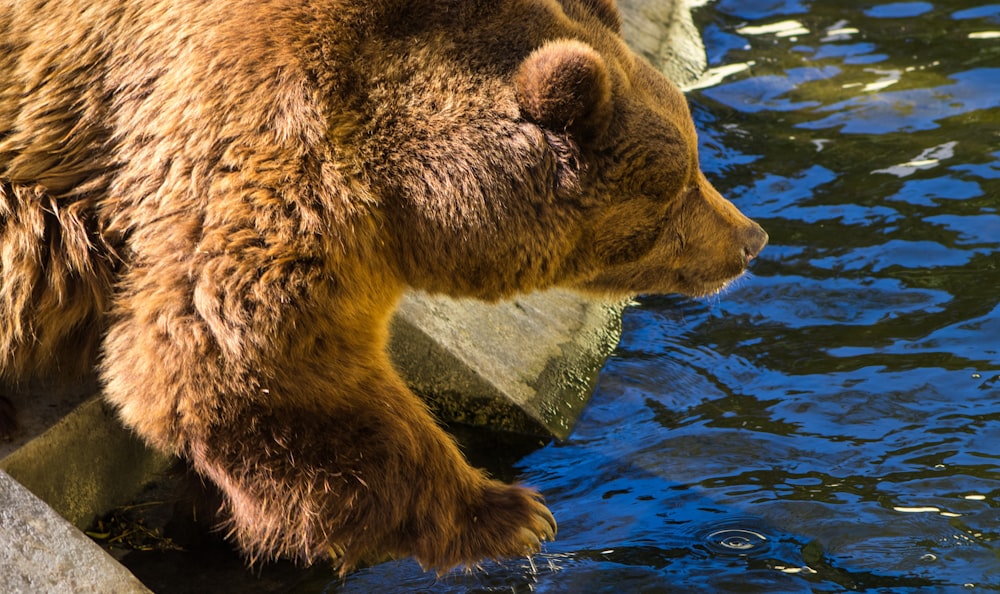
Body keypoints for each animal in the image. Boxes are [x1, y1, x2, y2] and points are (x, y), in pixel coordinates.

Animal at [0, 0, 768, 572]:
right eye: (679, 186)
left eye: (694, 159)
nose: (750, 239)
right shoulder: (266, 126)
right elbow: (253, 354)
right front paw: (510, 512)